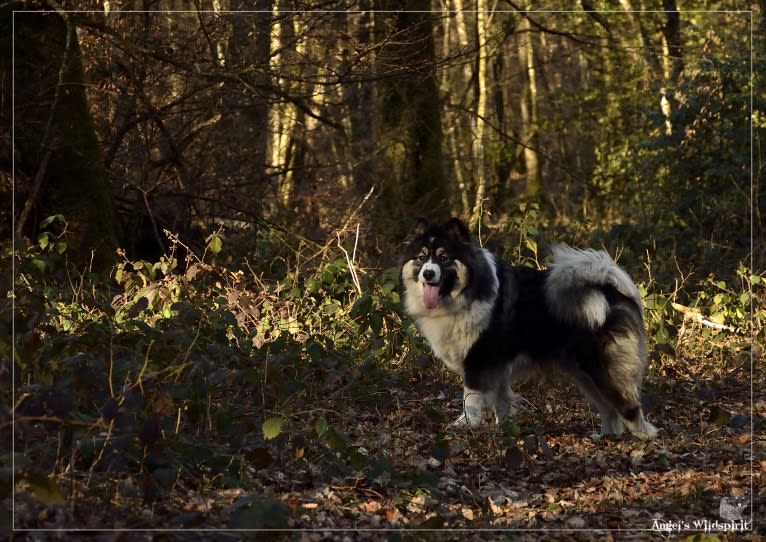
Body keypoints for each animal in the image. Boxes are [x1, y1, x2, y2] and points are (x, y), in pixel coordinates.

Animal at [402, 218, 660, 442]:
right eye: (422, 258)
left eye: (444, 258)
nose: (428, 273)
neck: (467, 292)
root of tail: (610, 290)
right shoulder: (497, 369)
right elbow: (502, 402)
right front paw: (504, 429)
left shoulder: (479, 361)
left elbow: (471, 401)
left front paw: (466, 426)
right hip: (584, 373)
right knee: (609, 409)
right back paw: (605, 436)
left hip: (602, 366)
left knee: (627, 405)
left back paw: (645, 436)